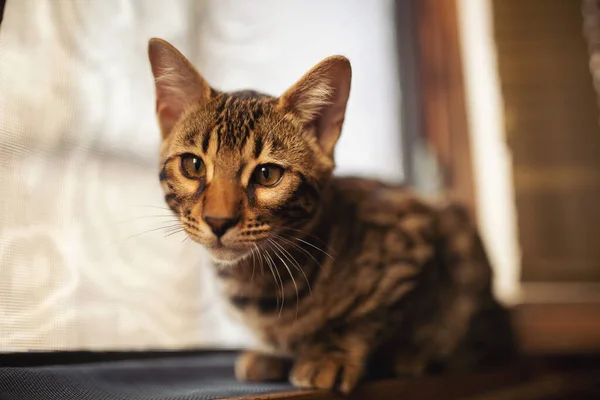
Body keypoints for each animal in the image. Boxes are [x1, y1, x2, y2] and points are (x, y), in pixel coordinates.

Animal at [148, 38, 516, 394]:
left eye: (267, 174)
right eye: (193, 166)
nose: (218, 221)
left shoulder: (411, 243)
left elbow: (367, 318)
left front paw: (331, 354)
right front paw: (270, 352)